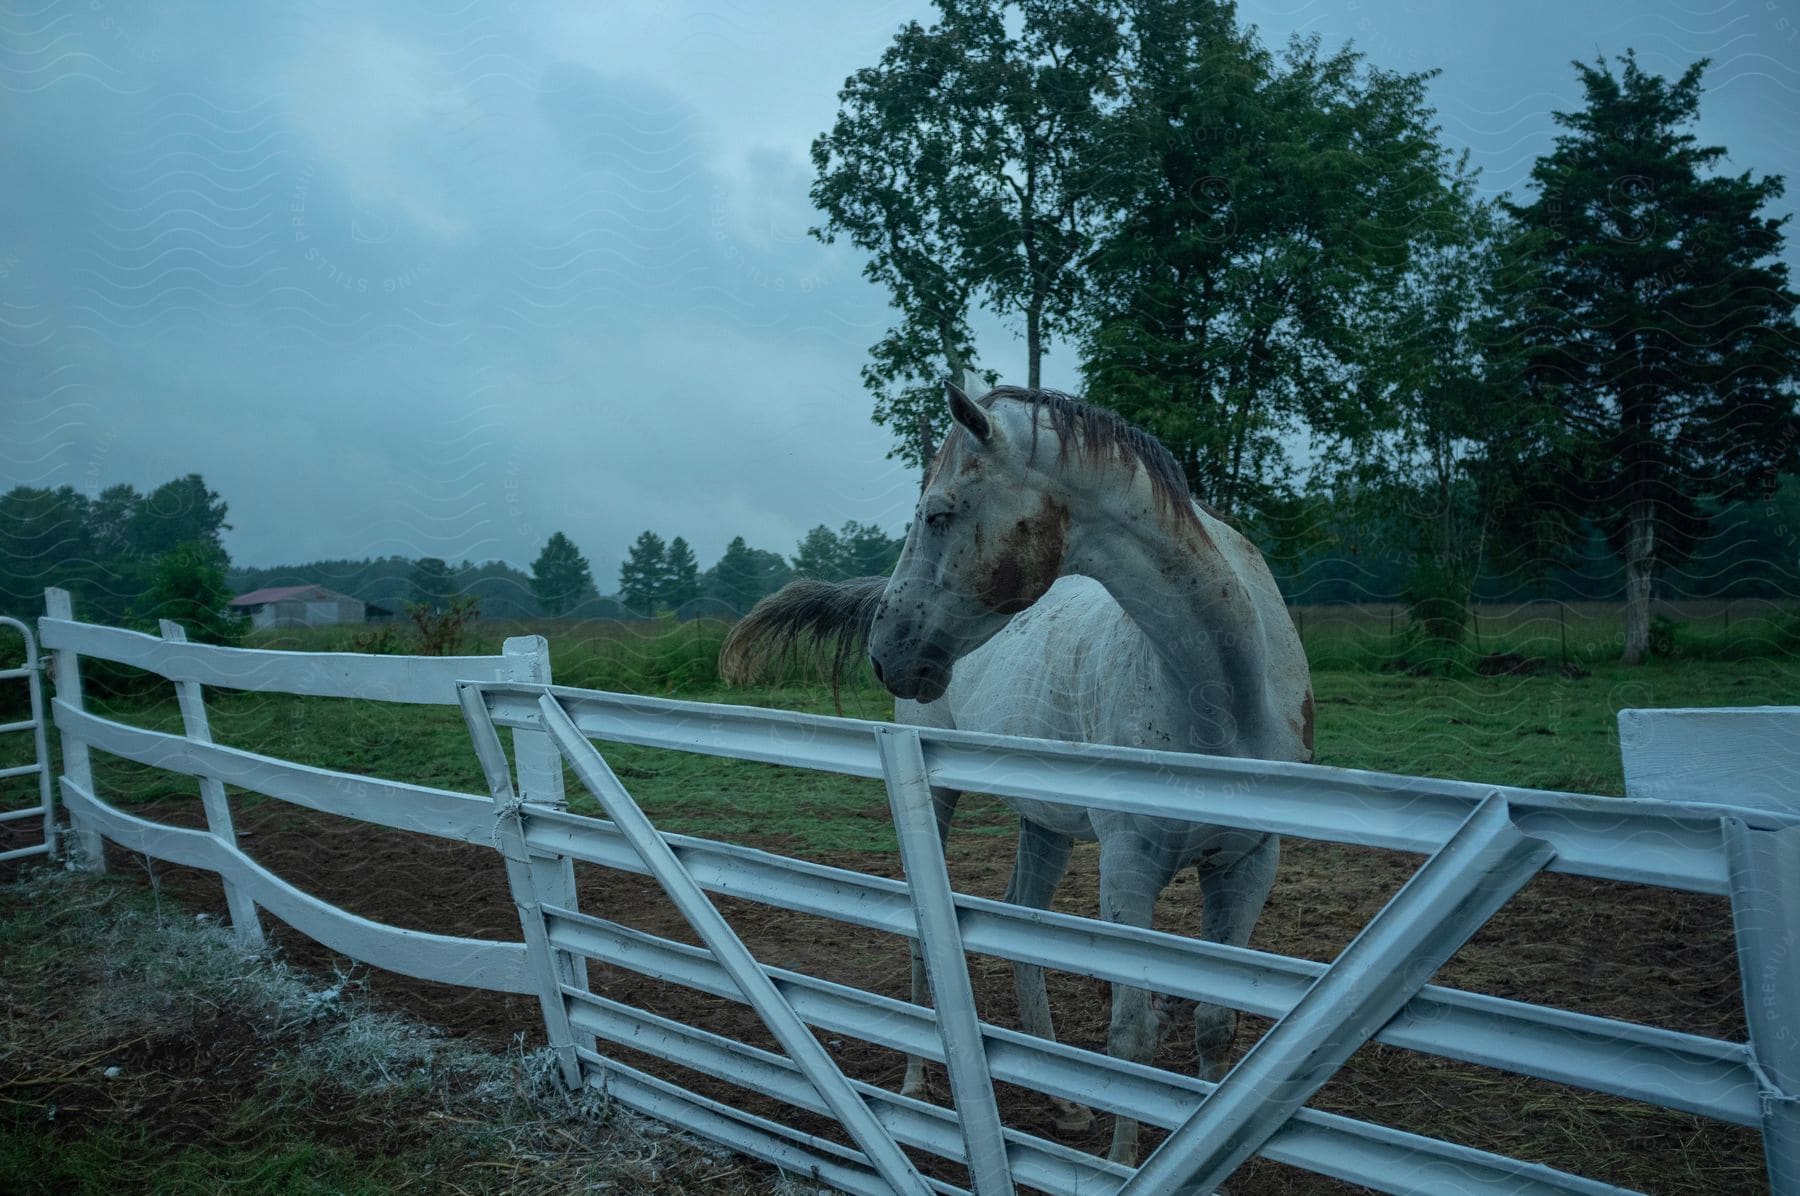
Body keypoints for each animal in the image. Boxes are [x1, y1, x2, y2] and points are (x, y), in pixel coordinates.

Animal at [716, 380, 1310, 1159]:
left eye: (939, 513)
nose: (886, 650)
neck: (1225, 687)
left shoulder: (1247, 864)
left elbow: (1216, 1028)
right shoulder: (1129, 865)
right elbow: (1134, 1035)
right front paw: (1125, 1164)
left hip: (1046, 822)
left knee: (1023, 917)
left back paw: (1064, 1102)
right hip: (939, 801)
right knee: (928, 934)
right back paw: (918, 1082)